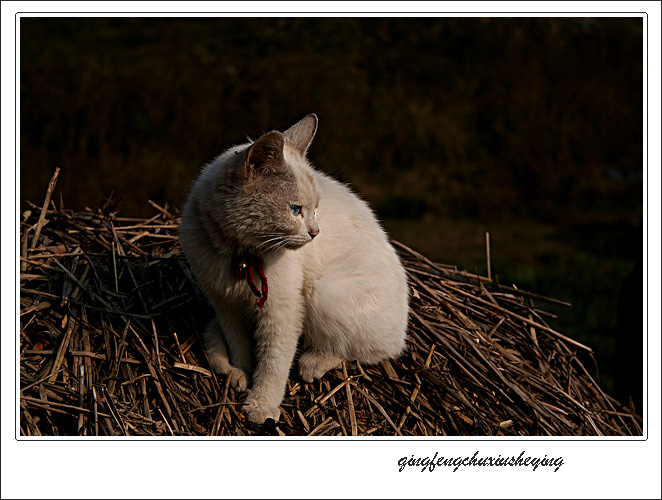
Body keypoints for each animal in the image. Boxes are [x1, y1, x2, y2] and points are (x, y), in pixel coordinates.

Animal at [182, 113, 410, 422]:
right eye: (295, 210)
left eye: (316, 209)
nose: (315, 232)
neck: (241, 255)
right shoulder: (224, 305)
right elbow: (239, 343)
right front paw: (241, 371)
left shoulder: (282, 310)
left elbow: (274, 362)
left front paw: (262, 406)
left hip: (325, 293)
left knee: (369, 352)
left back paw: (313, 363)